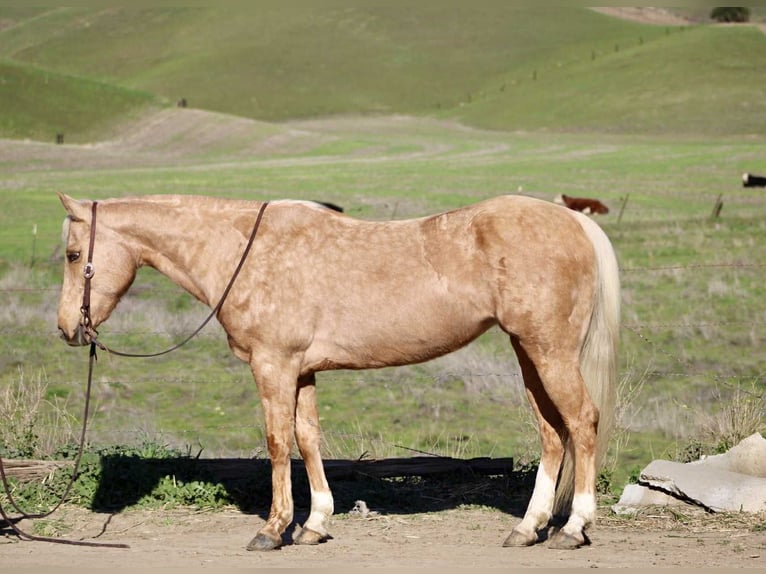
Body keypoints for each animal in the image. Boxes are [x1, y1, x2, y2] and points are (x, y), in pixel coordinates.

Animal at [57, 193, 619, 551]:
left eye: (73, 254)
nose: (67, 328)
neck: (245, 252)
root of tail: (574, 222)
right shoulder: (301, 371)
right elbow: (308, 440)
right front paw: (315, 524)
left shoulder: (273, 366)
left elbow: (278, 442)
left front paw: (273, 529)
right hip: (530, 353)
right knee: (552, 432)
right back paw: (528, 528)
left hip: (550, 351)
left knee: (581, 423)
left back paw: (573, 528)